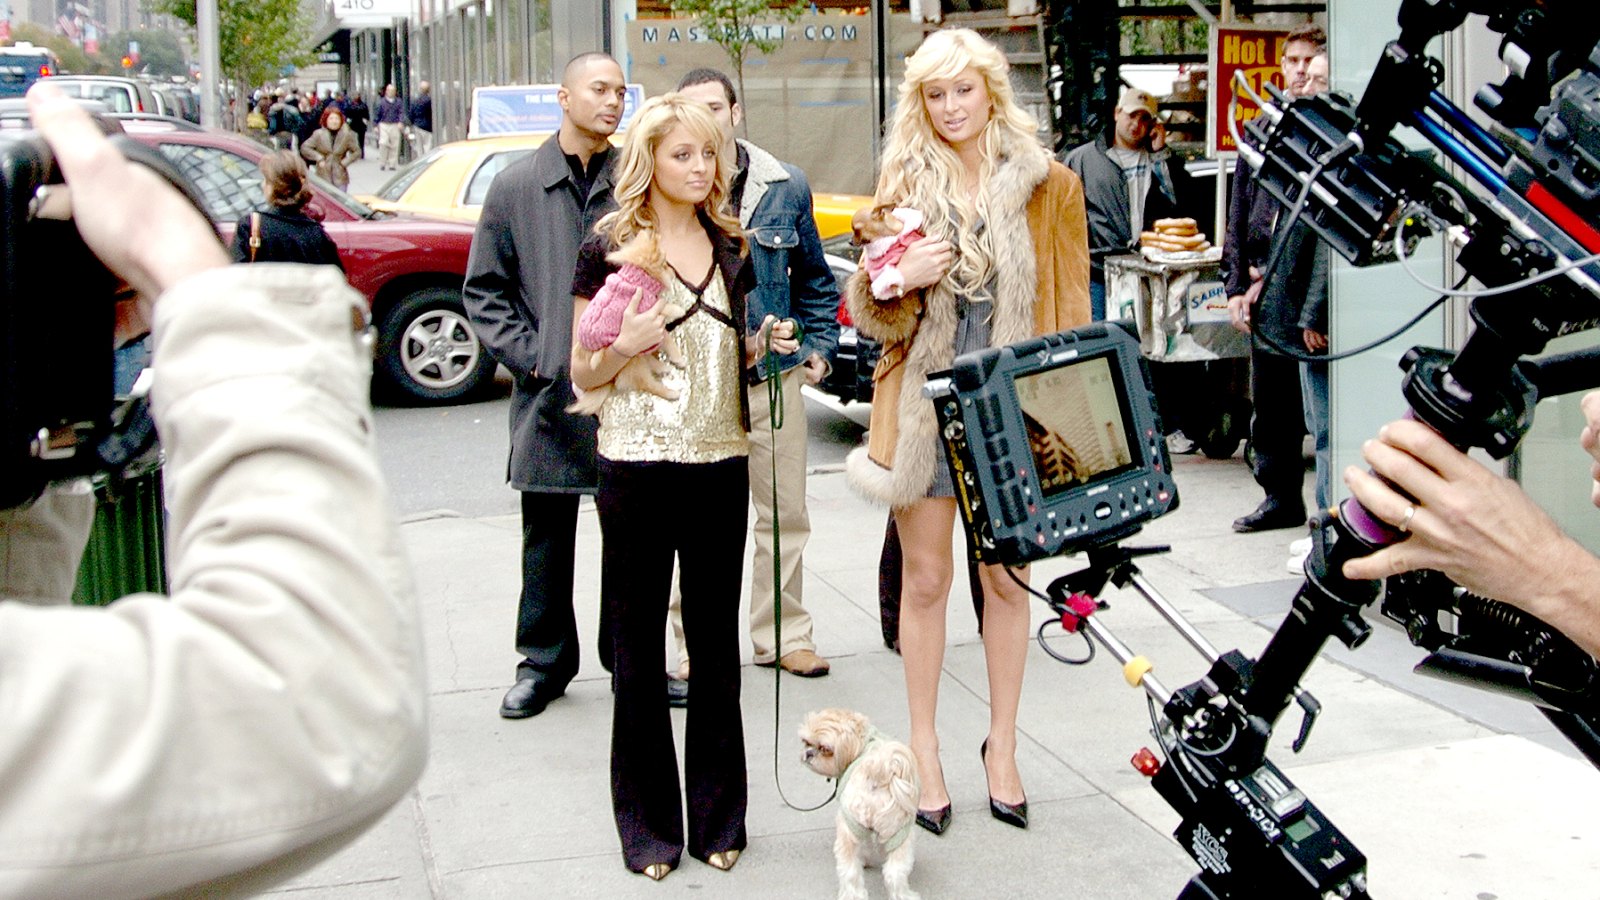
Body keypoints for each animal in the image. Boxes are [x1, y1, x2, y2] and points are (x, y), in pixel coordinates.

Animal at [566, 229, 684, 416]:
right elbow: (667, 332)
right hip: (633, 360)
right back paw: (670, 392)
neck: (638, 275)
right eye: (665, 264)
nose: (673, 271)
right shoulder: (648, 311)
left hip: (635, 358)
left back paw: (662, 367)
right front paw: (677, 311)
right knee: (647, 384)